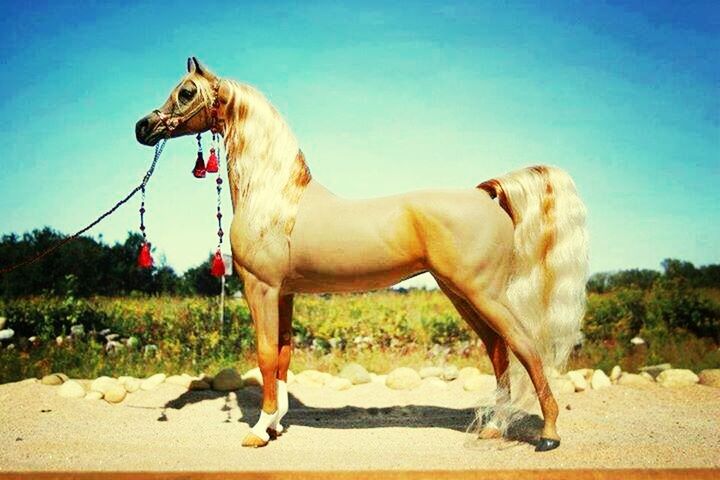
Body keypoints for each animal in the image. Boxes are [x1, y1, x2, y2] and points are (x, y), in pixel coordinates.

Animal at [136, 58, 592, 452]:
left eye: (186, 92)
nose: (143, 127)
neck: (275, 198)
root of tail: (486, 193)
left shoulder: (260, 288)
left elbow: (265, 355)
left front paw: (258, 431)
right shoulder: (285, 294)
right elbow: (282, 357)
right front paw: (276, 424)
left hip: (483, 294)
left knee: (526, 348)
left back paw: (548, 435)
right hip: (461, 294)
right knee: (498, 350)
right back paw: (494, 427)